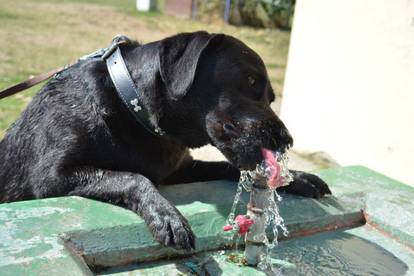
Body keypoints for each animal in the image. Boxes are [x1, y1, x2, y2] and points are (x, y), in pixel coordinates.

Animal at [0, 31, 330, 250]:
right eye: (250, 81)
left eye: (272, 97)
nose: (287, 140)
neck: (132, 108)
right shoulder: (52, 177)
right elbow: (133, 177)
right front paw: (166, 216)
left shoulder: (182, 169)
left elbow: (230, 167)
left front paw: (297, 177)